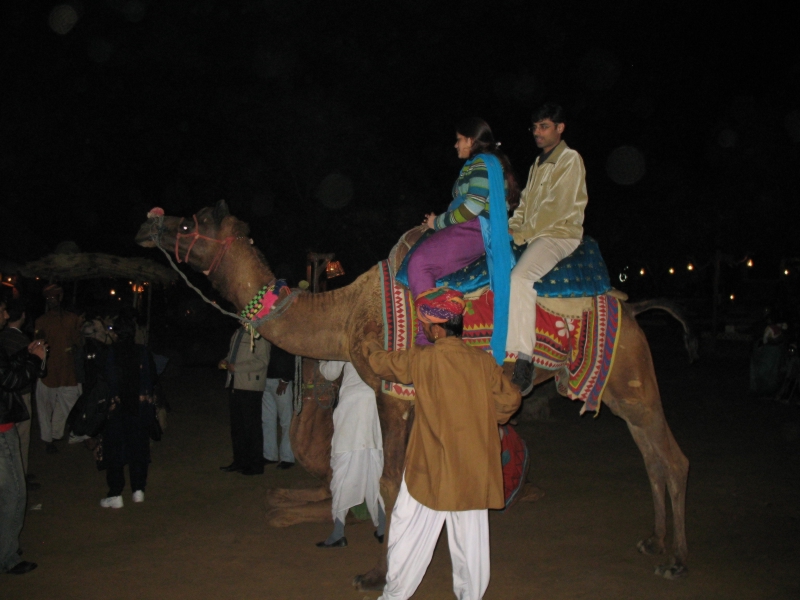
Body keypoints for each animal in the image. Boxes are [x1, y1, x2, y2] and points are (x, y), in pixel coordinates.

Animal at [136, 200, 692, 584]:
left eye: (188, 224)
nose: (149, 222)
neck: (345, 312)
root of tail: (632, 307)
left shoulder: (395, 393)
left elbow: (387, 482)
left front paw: (379, 574)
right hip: (620, 388)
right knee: (650, 454)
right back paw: (654, 542)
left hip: (632, 374)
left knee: (672, 456)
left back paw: (677, 561)